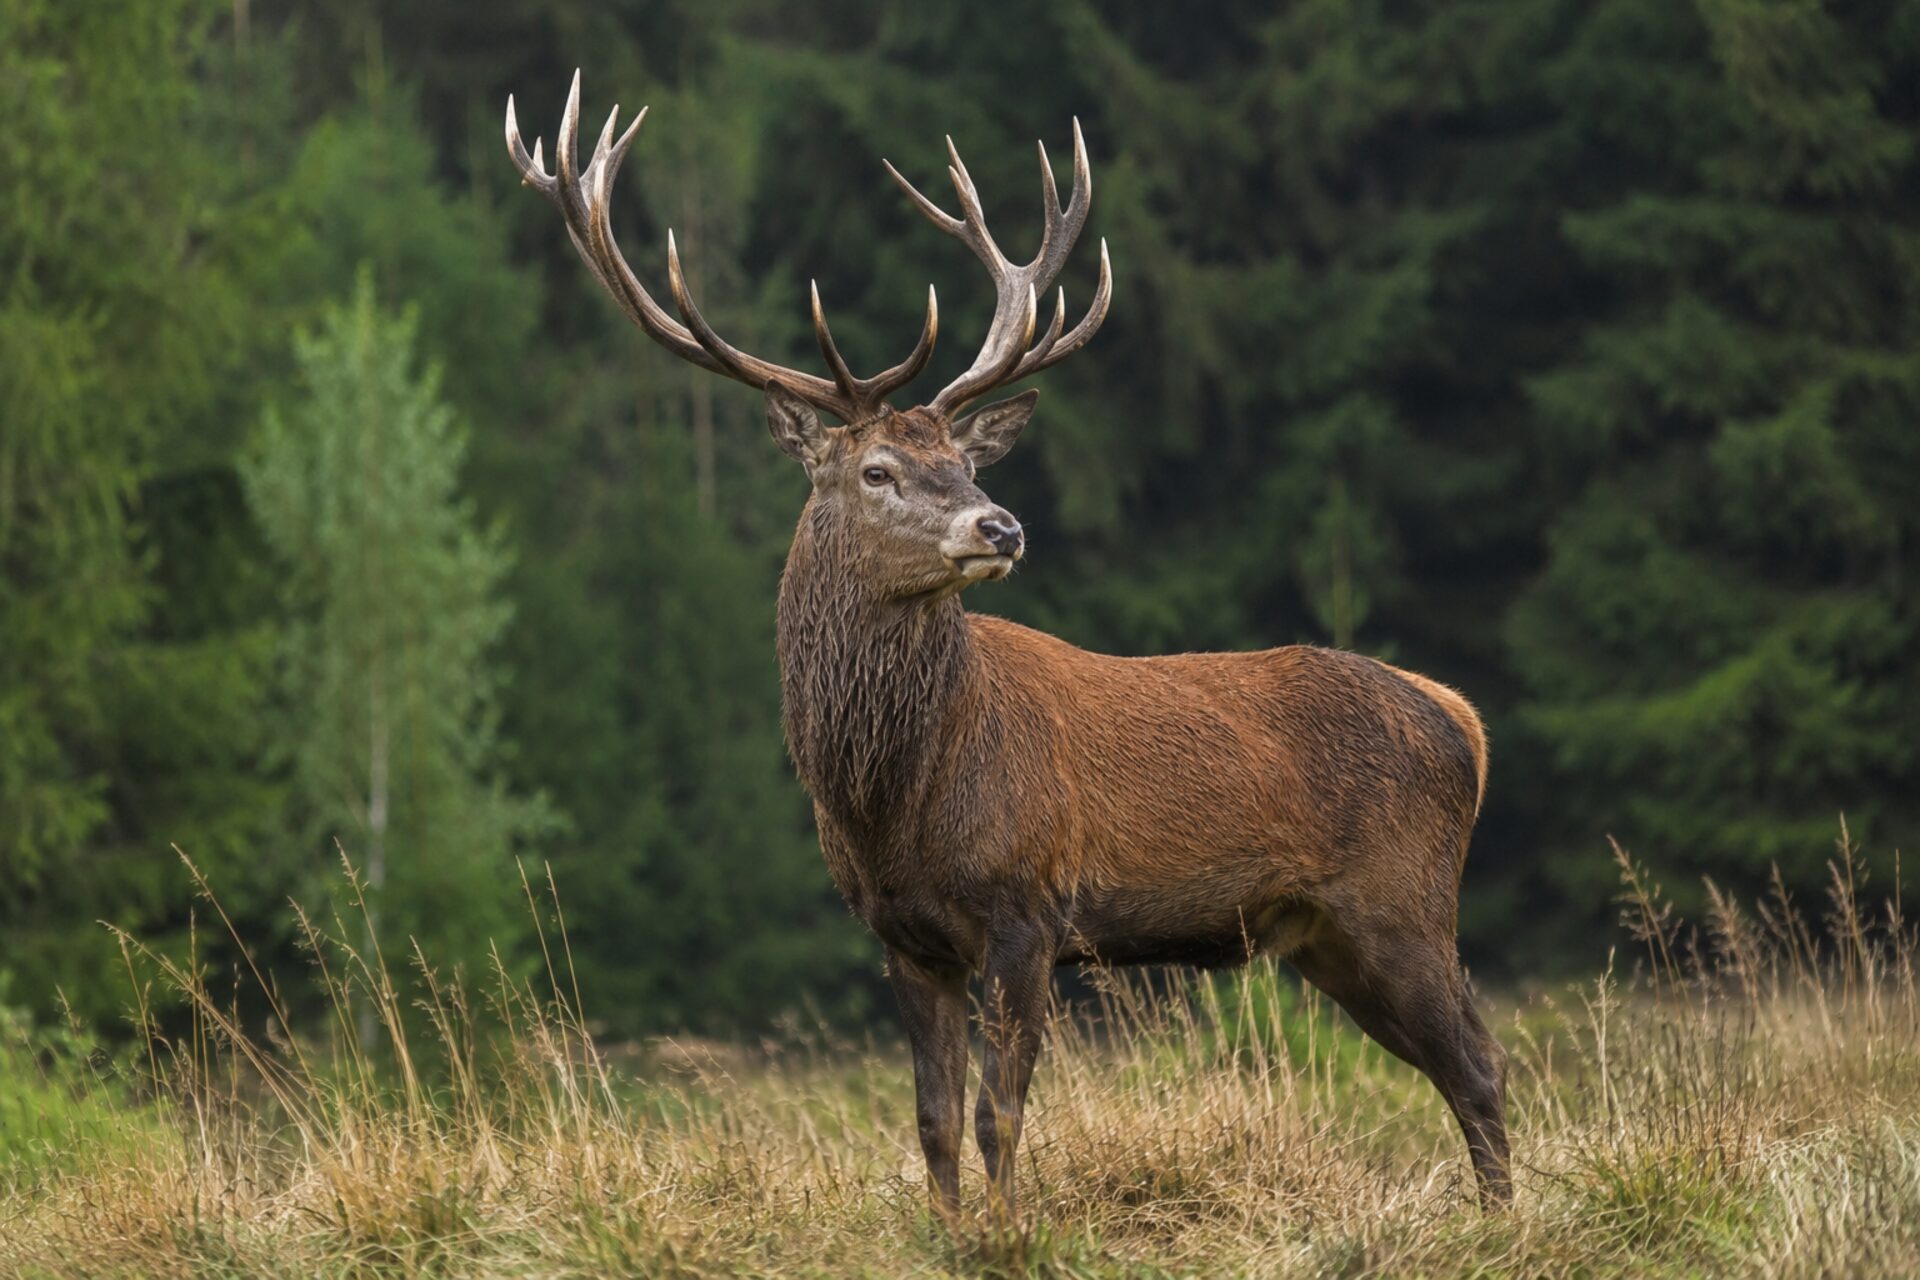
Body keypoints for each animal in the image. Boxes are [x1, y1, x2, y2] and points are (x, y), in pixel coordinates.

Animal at [507, 72, 1511, 1219]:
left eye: (966, 462)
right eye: (880, 470)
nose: (1003, 527)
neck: (894, 797)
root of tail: (1463, 718)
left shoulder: (1029, 909)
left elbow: (1001, 1113)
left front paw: (1008, 1231)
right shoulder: (904, 937)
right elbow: (934, 1121)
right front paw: (947, 1232)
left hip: (1401, 900)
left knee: (1480, 1064)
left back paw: (1503, 1226)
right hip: (1328, 936)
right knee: (1463, 1064)